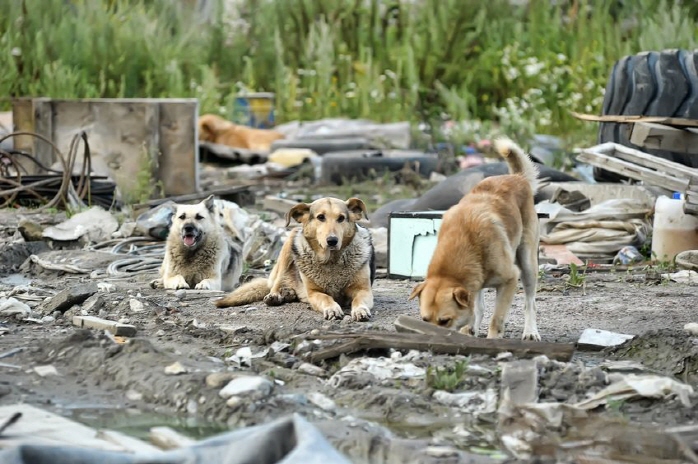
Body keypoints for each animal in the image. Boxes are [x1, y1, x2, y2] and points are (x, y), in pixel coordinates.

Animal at [215, 194, 376, 320]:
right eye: (321, 217)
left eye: (341, 218)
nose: (332, 241)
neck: (331, 260)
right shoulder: (314, 293)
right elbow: (326, 298)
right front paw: (332, 308)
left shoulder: (364, 290)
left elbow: (358, 300)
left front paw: (360, 310)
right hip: (290, 240)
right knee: (276, 282)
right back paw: (275, 296)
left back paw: (289, 293)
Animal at [406, 138, 540, 340]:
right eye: (424, 319)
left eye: (445, 321)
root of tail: (517, 177)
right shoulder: (474, 284)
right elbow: (477, 310)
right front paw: (470, 330)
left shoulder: (510, 279)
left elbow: (497, 319)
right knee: (480, 308)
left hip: (527, 264)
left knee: (529, 302)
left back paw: (530, 331)